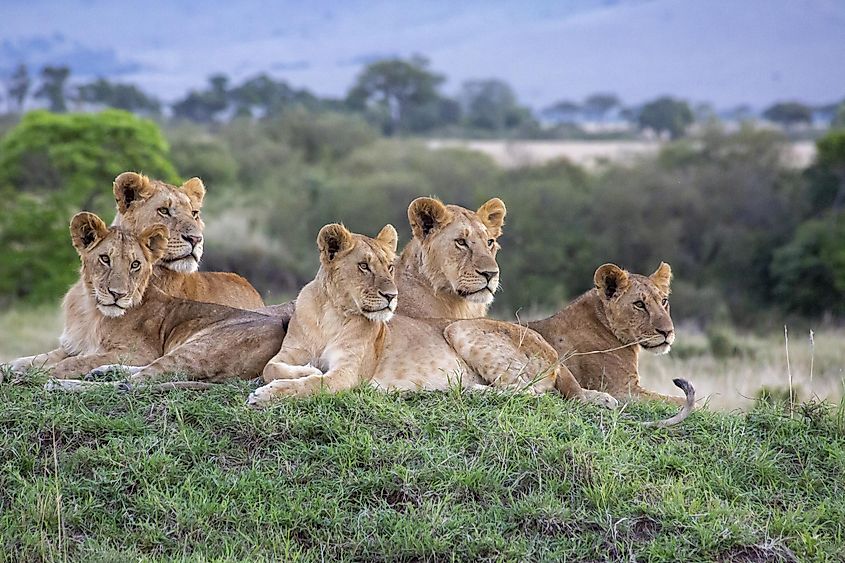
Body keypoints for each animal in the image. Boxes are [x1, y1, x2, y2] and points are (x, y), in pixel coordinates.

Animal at [246, 224, 620, 410]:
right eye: (364, 266)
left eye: (390, 267)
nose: (391, 296)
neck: (332, 313)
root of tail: (555, 354)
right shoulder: (287, 353)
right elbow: (271, 367)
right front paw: (304, 370)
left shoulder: (348, 376)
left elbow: (313, 386)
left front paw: (266, 395)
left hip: (460, 329)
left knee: (532, 393)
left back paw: (468, 392)